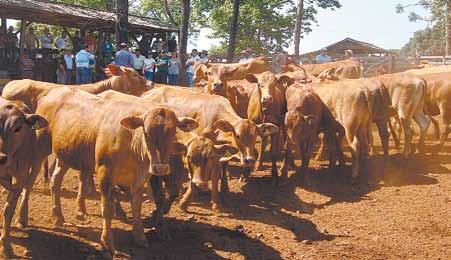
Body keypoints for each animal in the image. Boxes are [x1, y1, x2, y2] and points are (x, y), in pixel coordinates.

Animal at [0, 99, 48, 258]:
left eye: (18, 128)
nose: (1, 158)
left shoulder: (20, 177)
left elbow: (8, 210)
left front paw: (6, 247)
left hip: (37, 162)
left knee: (28, 188)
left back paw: (22, 218)